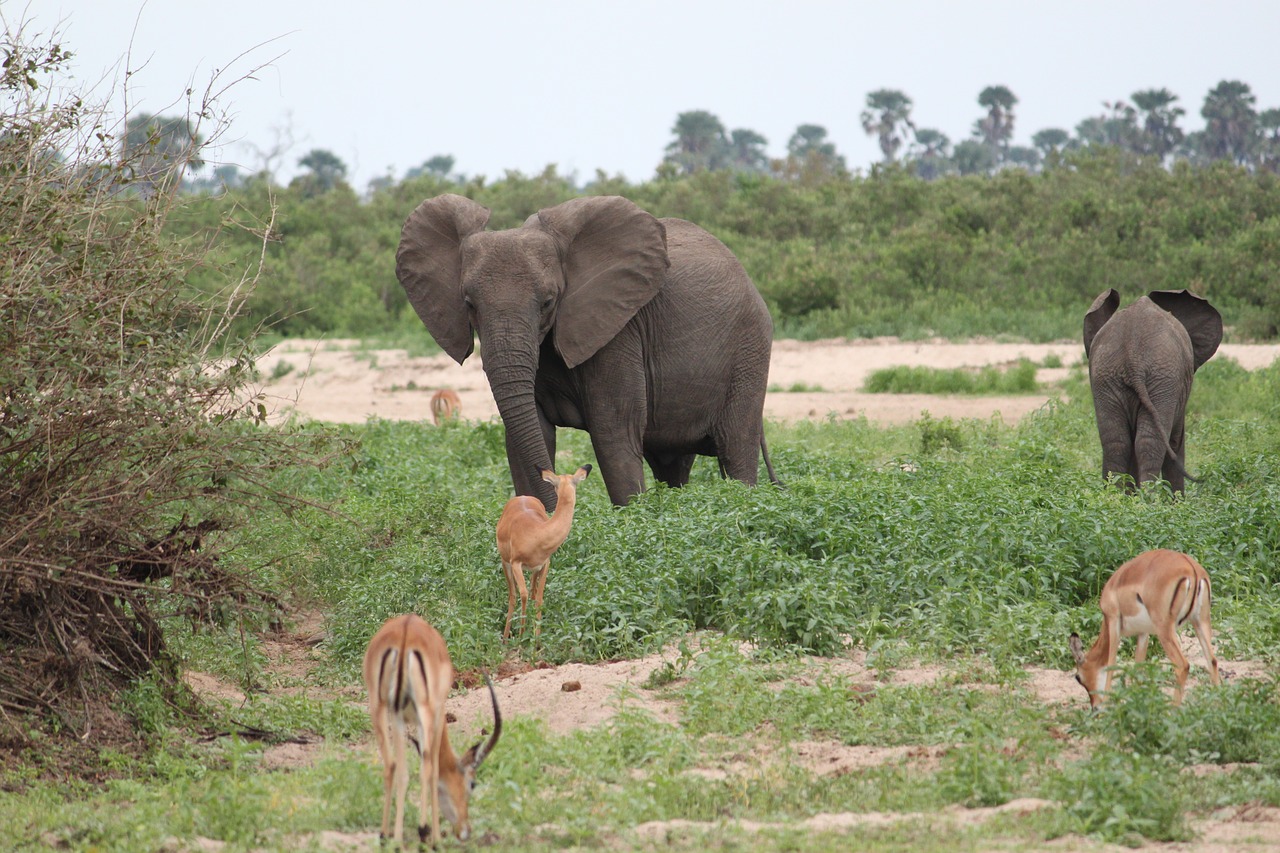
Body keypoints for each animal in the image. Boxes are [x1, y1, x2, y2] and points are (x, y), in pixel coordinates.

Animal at [363, 612, 501, 845]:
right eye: (472, 784)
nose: (465, 831)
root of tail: (405, 633)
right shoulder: (437, 715)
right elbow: (434, 769)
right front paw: (432, 834)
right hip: (424, 711)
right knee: (425, 768)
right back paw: (424, 832)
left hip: (379, 706)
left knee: (392, 766)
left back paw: (387, 836)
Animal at [394, 192, 773, 507]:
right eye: (469, 304)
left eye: (548, 302)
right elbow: (528, 436)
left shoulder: (618, 330)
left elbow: (614, 434)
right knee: (671, 462)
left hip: (750, 349)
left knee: (736, 449)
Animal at [491, 461, 591, 635]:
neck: (538, 533)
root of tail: (521, 497)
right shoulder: (516, 563)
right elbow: (523, 595)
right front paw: (521, 636)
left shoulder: (544, 564)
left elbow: (539, 598)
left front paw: (536, 639)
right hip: (506, 563)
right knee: (513, 596)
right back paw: (505, 637)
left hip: (533, 570)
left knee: (532, 591)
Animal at [1070, 548, 1218, 706]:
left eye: (1078, 677)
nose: (1095, 708)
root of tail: (1192, 568)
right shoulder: (1143, 633)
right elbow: (1138, 667)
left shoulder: (1113, 622)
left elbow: (1112, 663)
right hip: (1200, 621)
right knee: (1212, 661)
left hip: (1165, 629)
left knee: (1183, 665)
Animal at [1085, 286, 1223, 491]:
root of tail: (1132, 357)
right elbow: (1175, 442)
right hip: (1163, 379)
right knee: (1151, 441)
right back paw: (1147, 497)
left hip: (1106, 377)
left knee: (1116, 441)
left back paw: (1114, 496)